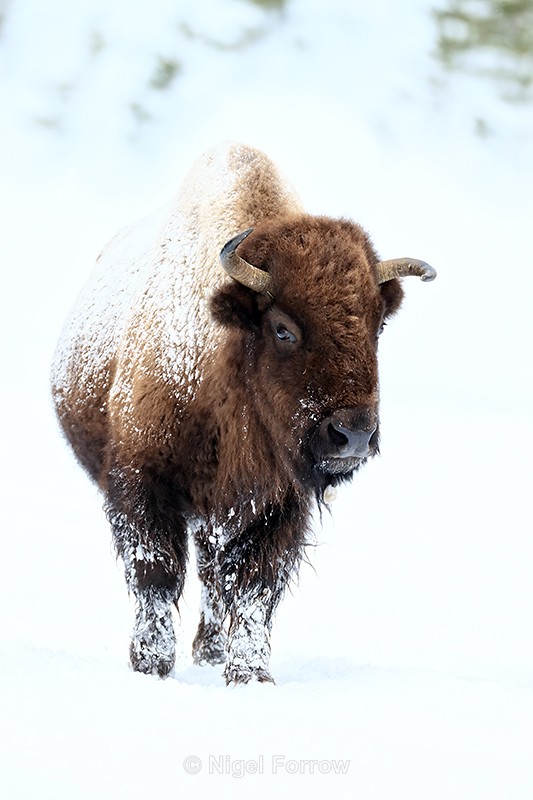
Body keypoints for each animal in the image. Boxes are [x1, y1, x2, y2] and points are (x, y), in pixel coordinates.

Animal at [51, 142, 435, 683]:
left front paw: (250, 675)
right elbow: (156, 572)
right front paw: (151, 665)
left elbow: (256, 587)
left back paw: (212, 652)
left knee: (217, 575)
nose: (353, 435)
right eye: (282, 328)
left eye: (378, 325)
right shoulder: (142, 481)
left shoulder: (276, 505)